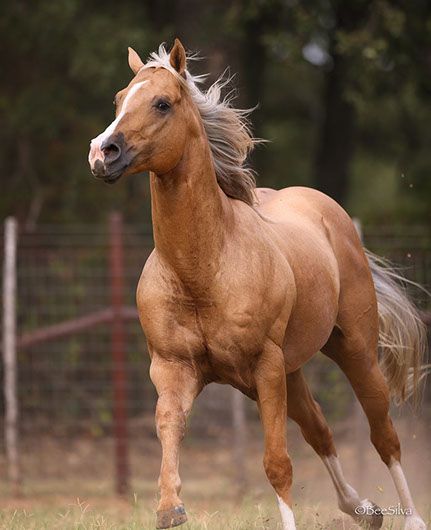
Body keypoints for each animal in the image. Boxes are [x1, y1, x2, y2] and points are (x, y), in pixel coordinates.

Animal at [88, 39, 428, 524]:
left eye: (162, 103)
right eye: (119, 100)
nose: (103, 153)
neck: (203, 269)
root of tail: (331, 215)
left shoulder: (265, 366)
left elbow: (277, 463)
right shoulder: (173, 368)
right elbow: (169, 429)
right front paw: (170, 508)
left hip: (355, 352)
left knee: (384, 434)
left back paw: (411, 517)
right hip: (292, 370)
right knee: (321, 431)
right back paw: (363, 510)